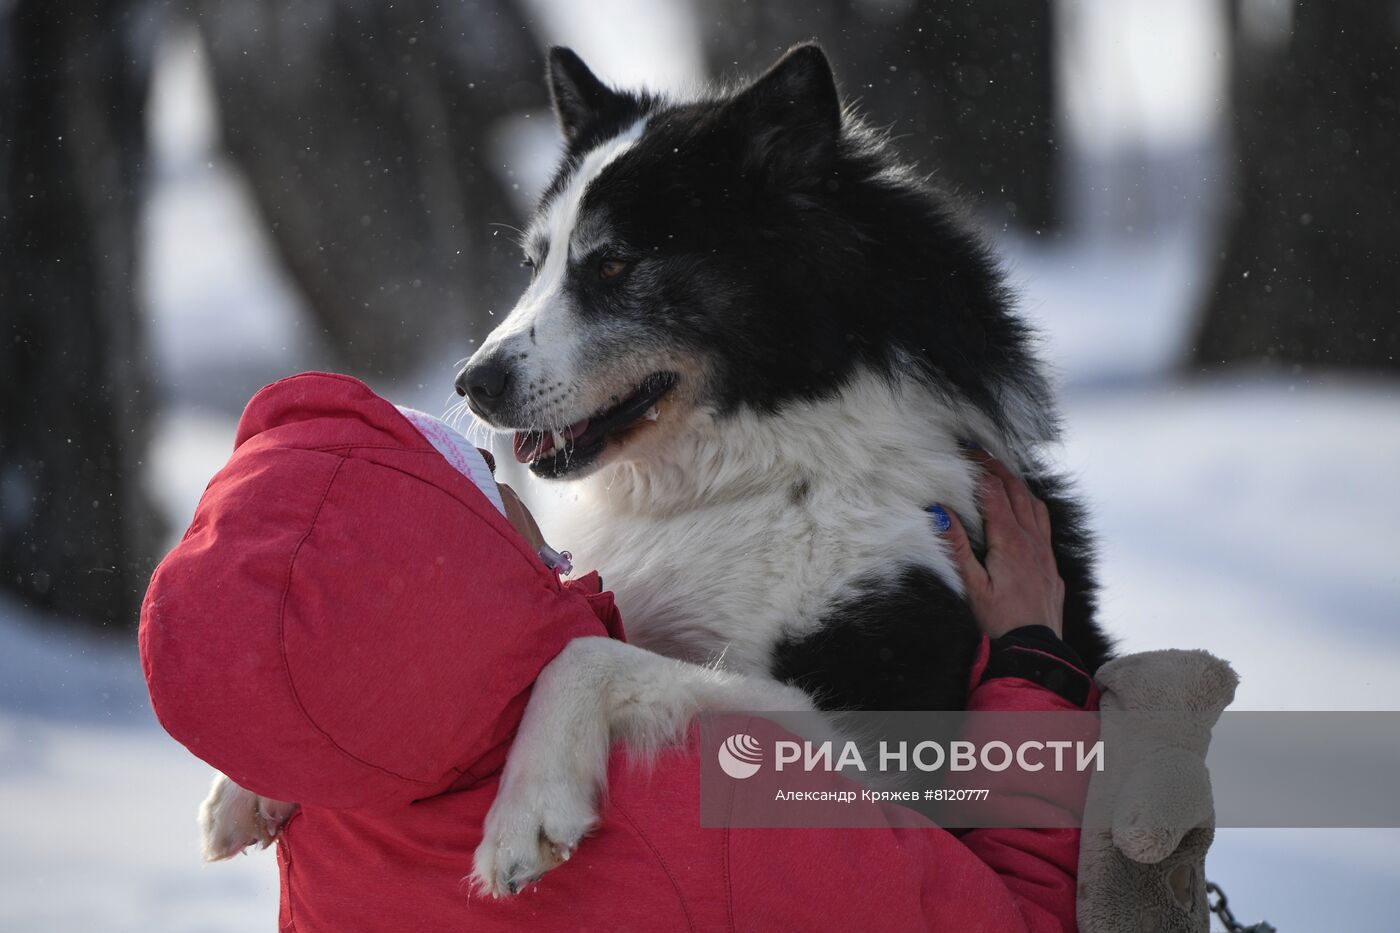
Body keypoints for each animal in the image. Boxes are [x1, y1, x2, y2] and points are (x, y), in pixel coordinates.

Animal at [459, 45, 1114, 896]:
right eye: (532, 265)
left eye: (613, 265)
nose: (472, 383)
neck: (766, 471)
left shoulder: (883, 748)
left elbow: (590, 653)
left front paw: (527, 806)